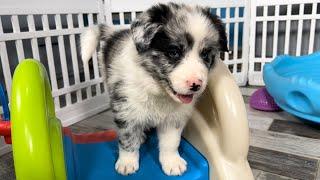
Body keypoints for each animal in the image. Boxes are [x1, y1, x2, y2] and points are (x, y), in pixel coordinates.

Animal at [81, 1, 229, 176]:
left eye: (205, 55)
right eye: (174, 52)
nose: (196, 85)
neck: (157, 88)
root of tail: (114, 33)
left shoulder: (174, 118)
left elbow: (171, 142)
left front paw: (172, 162)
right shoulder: (126, 110)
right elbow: (128, 139)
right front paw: (127, 163)